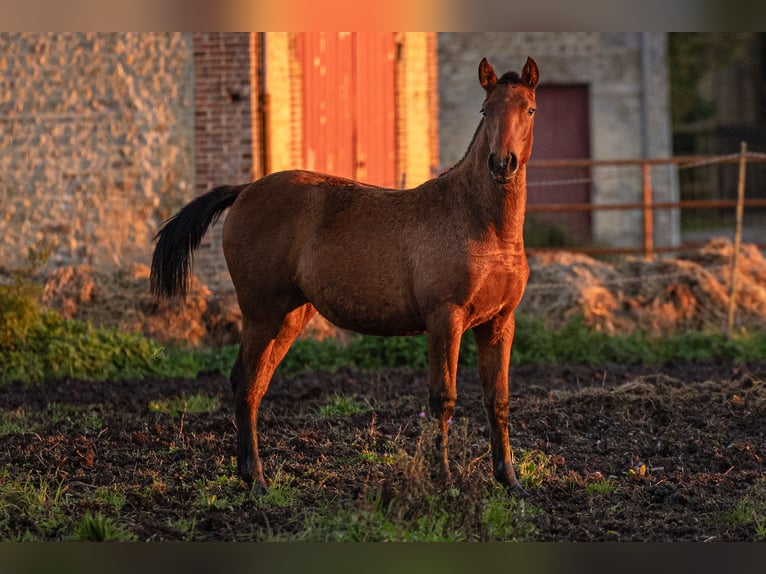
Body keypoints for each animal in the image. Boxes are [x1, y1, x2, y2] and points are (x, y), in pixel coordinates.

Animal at [152, 57, 540, 496]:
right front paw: (443, 480)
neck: (481, 224)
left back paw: (250, 474)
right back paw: (257, 478)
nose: (502, 164)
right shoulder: (446, 319)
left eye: (529, 109)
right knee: (247, 382)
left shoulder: (499, 323)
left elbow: (498, 399)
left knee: (255, 383)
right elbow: (443, 399)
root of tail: (247, 189)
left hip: (289, 316)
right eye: (485, 111)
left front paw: (509, 479)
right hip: (261, 314)